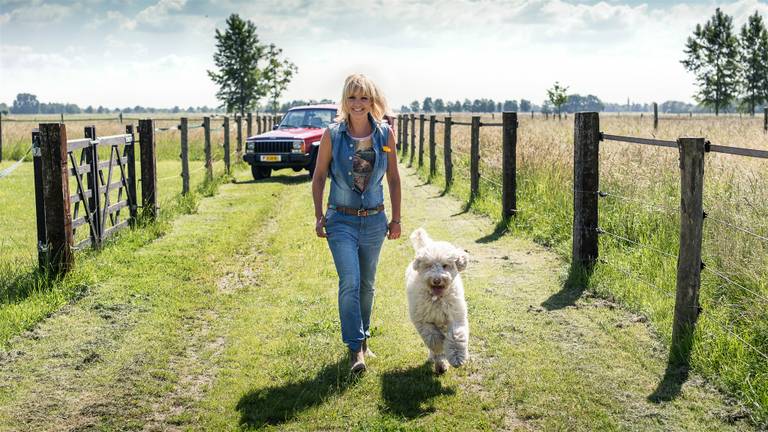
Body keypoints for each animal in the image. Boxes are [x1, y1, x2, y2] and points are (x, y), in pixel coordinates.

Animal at [408, 228, 468, 372]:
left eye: (445, 265)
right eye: (428, 265)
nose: (436, 280)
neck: (437, 298)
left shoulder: (455, 316)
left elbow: (456, 336)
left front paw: (457, 357)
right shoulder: (424, 321)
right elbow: (433, 339)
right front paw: (441, 351)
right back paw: (439, 363)